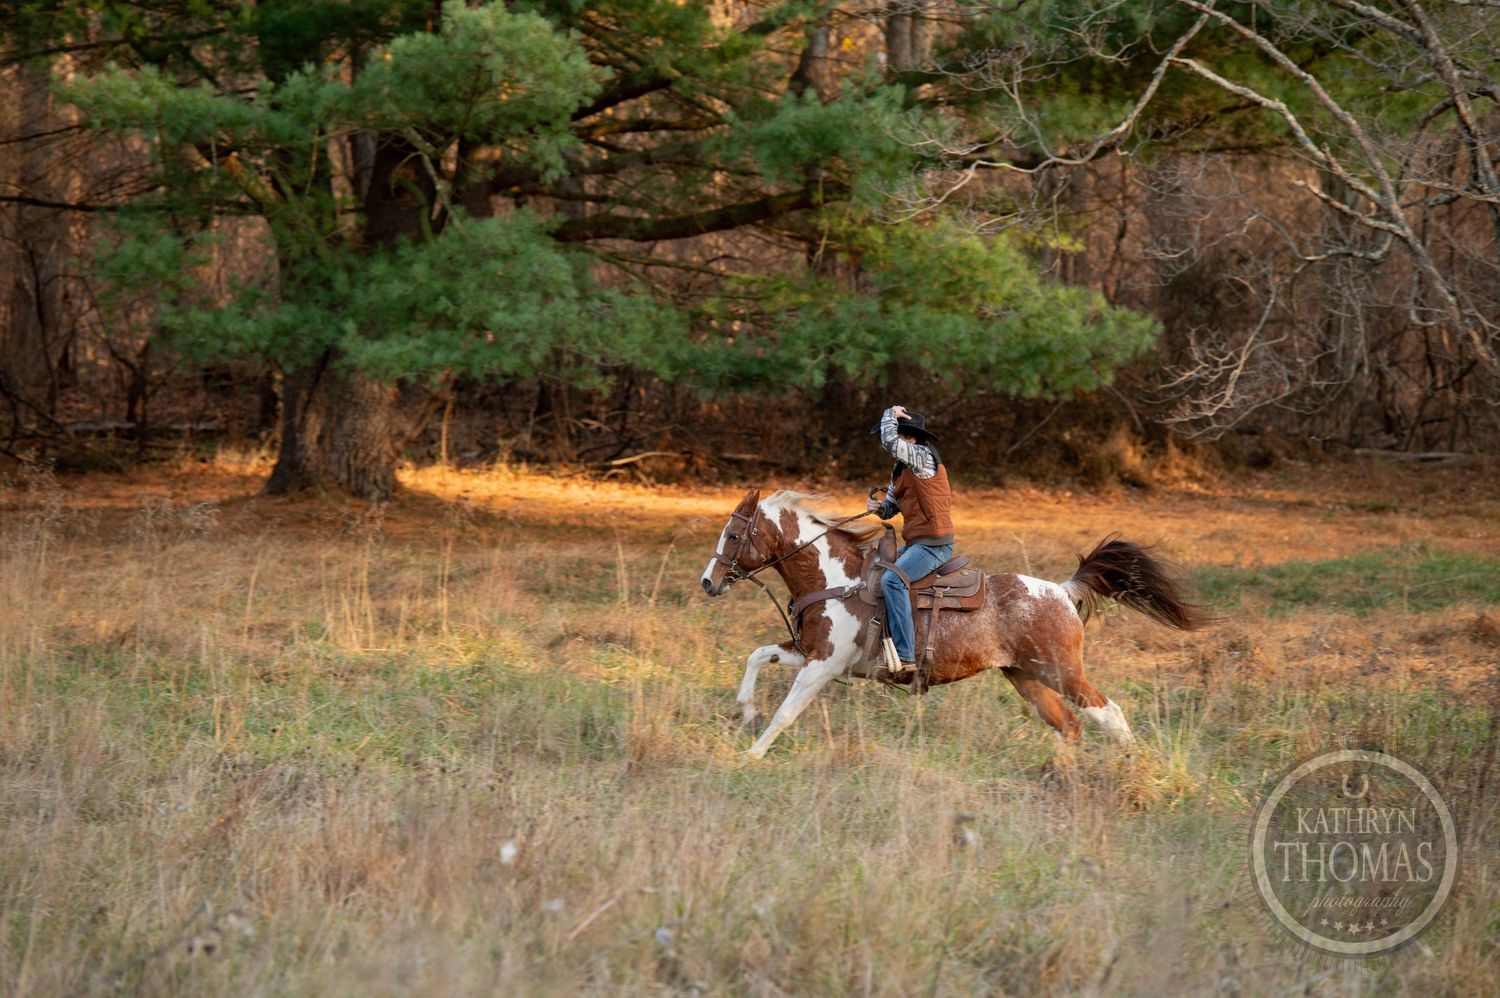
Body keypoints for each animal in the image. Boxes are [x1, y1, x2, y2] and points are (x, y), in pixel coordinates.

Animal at [700, 488, 1212, 759]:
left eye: (734, 534)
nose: (708, 581)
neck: (837, 579)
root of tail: (1063, 591)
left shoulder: (822, 665)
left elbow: (787, 711)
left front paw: (752, 754)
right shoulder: (810, 652)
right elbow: (757, 656)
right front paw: (747, 711)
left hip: (1062, 672)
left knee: (1108, 712)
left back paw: (1132, 766)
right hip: (1025, 677)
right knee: (1068, 724)